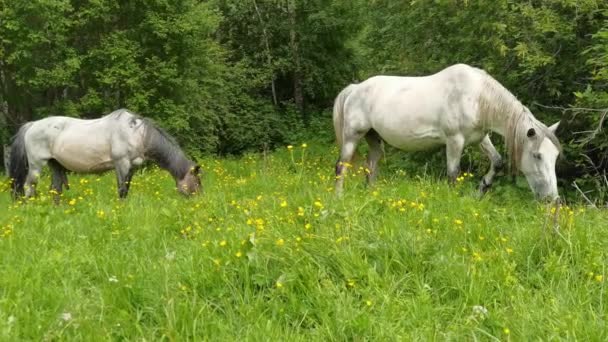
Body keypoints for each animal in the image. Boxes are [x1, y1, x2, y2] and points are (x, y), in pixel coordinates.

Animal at [7, 109, 202, 200]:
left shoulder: (131, 168)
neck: (136, 133)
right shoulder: (121, 164)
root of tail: (31, 125)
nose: (200, 201)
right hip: (36, 166)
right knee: (28, 187)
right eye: (197, 181)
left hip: (55, 164)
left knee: (56, 190)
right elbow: (122, 190)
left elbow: (126, 189)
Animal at [334, 63, 564, 200]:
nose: (552, 198)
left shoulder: (480, 138)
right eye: (537, 155)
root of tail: (355, 89)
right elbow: (453, 173)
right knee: (341, 166)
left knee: (371, 166)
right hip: (352, 136)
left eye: (555, 157)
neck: (477, 97)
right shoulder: (455, 140)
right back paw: (338, 198)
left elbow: (497, 162)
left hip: (374, 138)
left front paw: (481, 190)